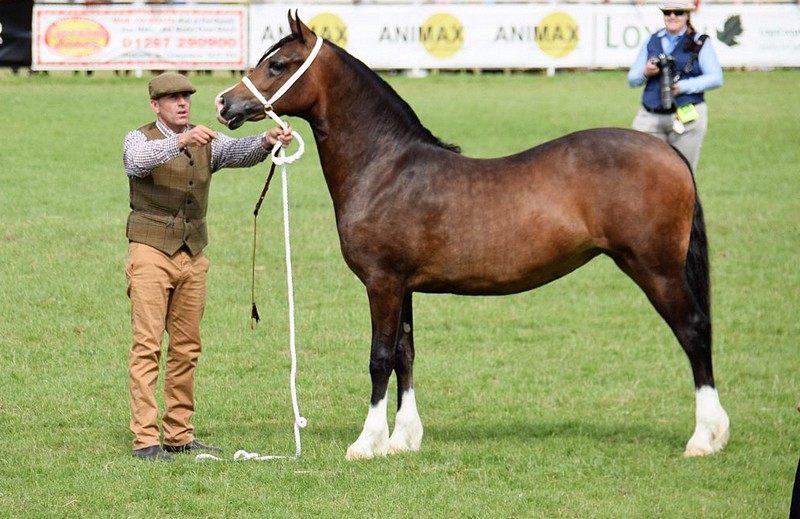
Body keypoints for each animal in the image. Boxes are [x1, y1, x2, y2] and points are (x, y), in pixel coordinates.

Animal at [216, 11, 728, 460]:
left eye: (277, 64)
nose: (224, 103)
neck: (386, 167)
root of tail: (667, 152)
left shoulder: (382, 283)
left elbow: (380, 358)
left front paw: (366, 443)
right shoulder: (403, 286)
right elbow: (405, 354)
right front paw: (402, 440)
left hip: (655, 269)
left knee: (694, 330)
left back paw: (705, 437)